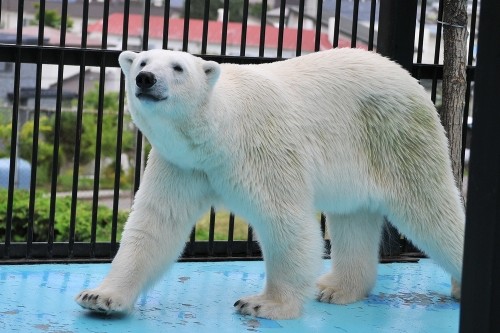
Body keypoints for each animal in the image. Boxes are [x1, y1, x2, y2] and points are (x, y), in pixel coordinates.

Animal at [74, 47, 464, 320]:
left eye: (177, 67)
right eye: (141, 61)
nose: (146, 79)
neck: (217, 131)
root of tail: (411, 80)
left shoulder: (263, 150)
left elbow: (284, 221)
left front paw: (264, 304)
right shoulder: (182, 164)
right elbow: (155, 224)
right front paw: (100, 297)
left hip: (397, 137)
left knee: (432, 209)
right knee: (353, 218)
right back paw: (336, 288)